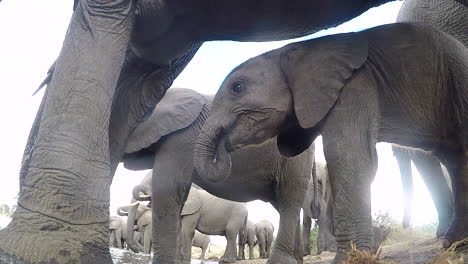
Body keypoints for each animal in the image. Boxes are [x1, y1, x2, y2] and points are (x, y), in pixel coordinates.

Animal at [124, 88, 314, 264]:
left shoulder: (182, 137)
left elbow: (170, 196)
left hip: (295, 159)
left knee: (287, 202)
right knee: (285, 205)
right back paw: (297, 260)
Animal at [193, 22, 468, 262]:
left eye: (237, 88)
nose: (224, 145)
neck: (287, 52)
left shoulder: (355, 84)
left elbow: (344, 153)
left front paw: (350, 259)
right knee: (454, 157)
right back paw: (455, 243)